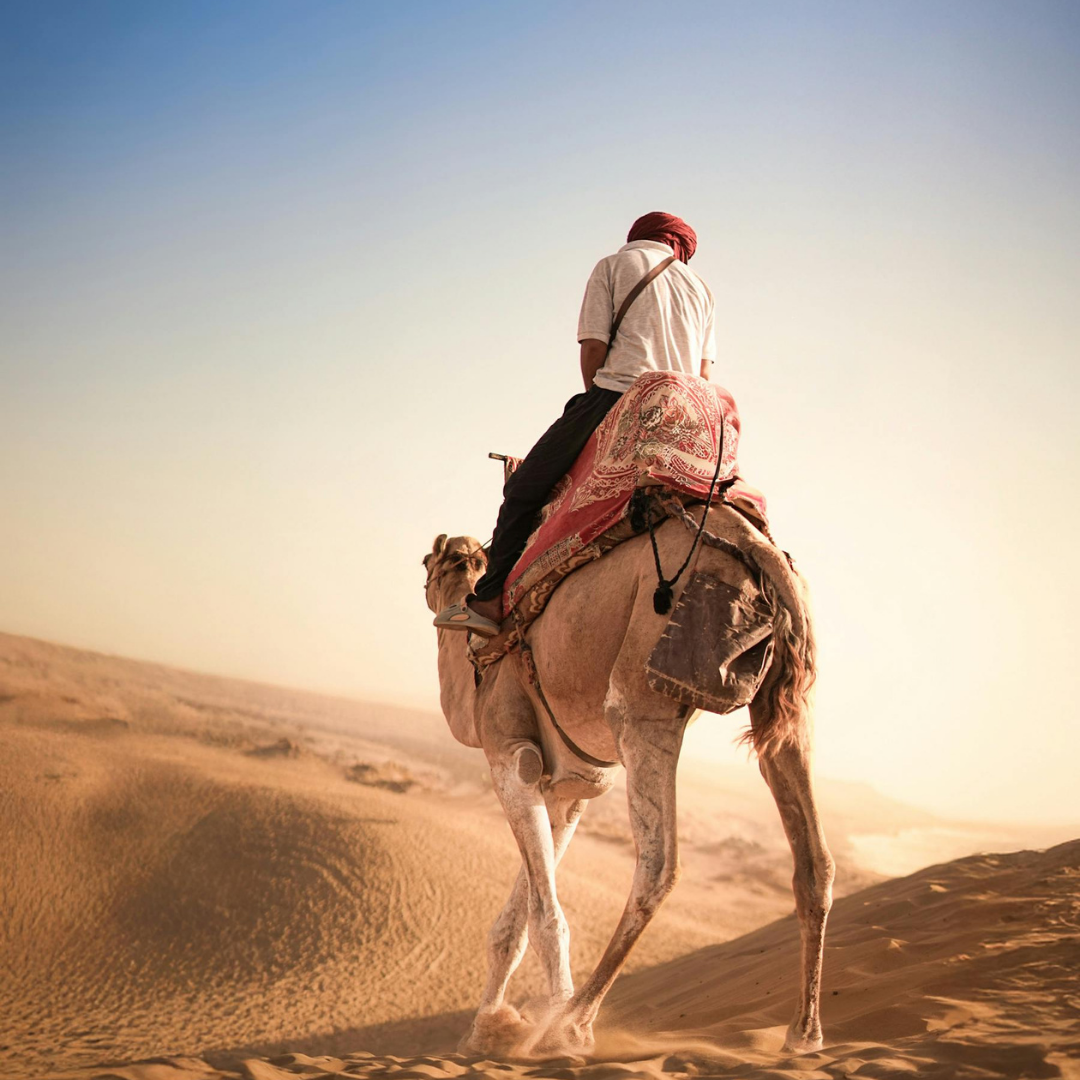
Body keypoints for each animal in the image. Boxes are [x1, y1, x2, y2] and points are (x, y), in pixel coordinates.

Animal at [423, 503, 834, 1058]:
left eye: (428, 561)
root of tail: (760, 548)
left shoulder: (511, 754)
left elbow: (546, 914)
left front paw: (535, 1025)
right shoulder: (570, 785)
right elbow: (514, 925)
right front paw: (484, 1030)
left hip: (643, 692)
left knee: (659, 866)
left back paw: (572, 1025)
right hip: (786, 709)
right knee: (815, 860)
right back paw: (804, 1035)